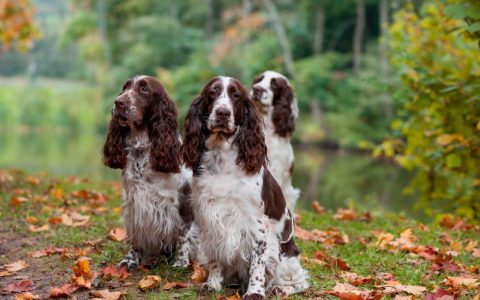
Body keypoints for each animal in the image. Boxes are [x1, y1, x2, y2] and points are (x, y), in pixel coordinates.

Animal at [102, 75, 197, 270]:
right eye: (125, 87)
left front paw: (181, 261)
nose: (118, 102)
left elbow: (184, 235)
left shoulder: (184, 203)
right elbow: (135, 236)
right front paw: (131, 260)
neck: (142, 150)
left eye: (144, 89)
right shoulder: (134, 203)